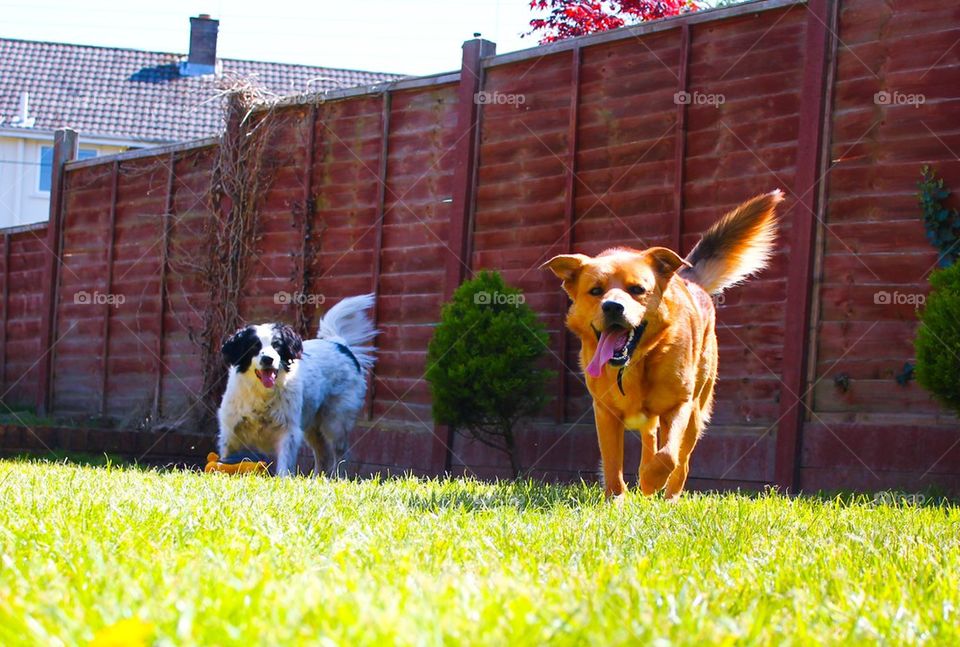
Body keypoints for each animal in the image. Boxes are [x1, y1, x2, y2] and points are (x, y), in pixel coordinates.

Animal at [218, 294, 378, 476]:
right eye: (254, 346)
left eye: (277, 345)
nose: (268, 359)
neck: (263, 394)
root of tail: (340, 345)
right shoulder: (230, 432)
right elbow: (225, 458)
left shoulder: (288, 432)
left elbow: (284, 466)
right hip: (314, 427)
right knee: (322, 455)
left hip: (335, 422)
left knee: (340, 454)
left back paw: (337, 478)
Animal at [540, 190, 780, 498]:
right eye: (595, 291)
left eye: (637, 290)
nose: (612, 307)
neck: (634, 363)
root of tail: (686, 279)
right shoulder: (605, 413)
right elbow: (612, 465)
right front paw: (617, 499)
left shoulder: (679, 406)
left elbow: (668, 456)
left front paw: (651, 480)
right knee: (650, 439)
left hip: (696, 413)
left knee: (681, 462)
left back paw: (669, 497)